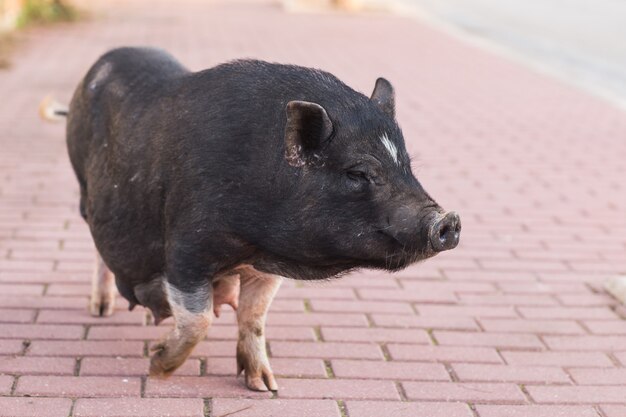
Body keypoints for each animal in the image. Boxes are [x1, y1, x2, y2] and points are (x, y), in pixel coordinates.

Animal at [44, 47, 456, 392]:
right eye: (358, 173)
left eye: (405, 165)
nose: (447, 220)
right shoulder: (186, 248)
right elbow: (199, 319)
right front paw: (156, 367)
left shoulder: (266, 265)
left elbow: (254, 317)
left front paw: (266, 387)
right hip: (84, 189)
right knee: (98, 246)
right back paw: (100, 311)